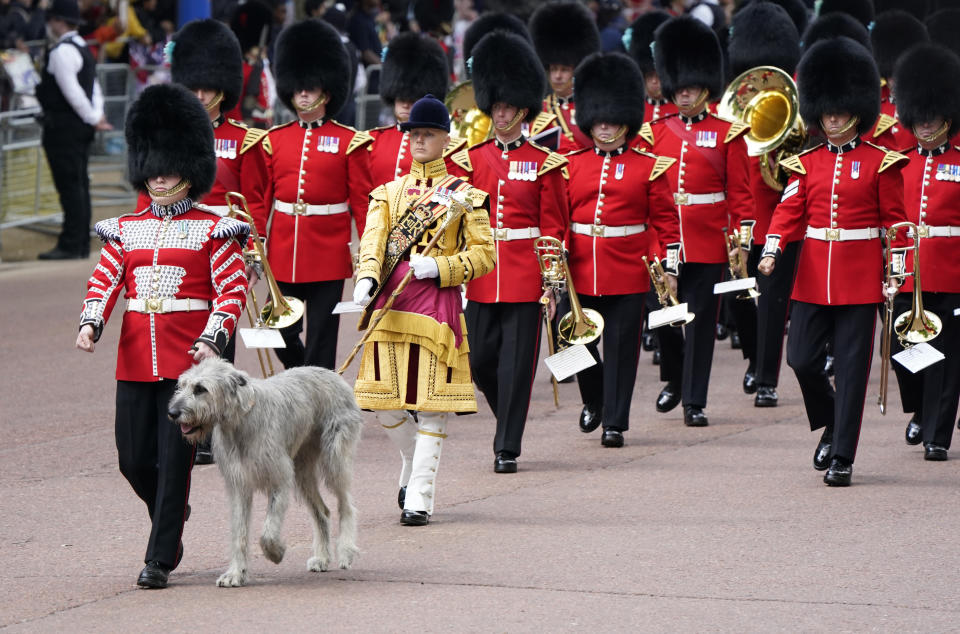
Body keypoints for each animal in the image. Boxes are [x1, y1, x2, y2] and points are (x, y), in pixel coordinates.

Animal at [169, 358, 364, 584]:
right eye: (181, 385)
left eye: (200, 389)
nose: (172, 413)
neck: (240, 421)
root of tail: (334, 374)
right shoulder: (239, 486)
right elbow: (239, 532)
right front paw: (236, 573)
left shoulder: (279, 480)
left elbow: (268, 532)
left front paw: (276, 552)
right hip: (302, 471)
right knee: (322, 511)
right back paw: (322, 557)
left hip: (335, 460)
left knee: (346, 504)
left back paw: (346, 550)